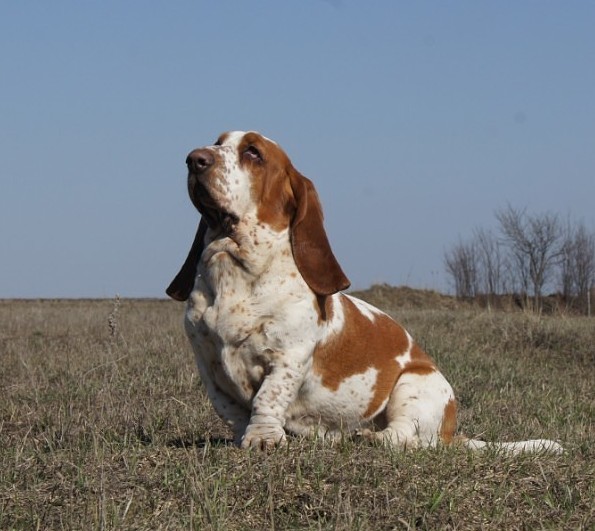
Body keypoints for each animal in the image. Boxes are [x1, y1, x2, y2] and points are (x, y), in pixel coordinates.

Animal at [168, 132, 564, 454]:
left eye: (253, 152)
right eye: (217, 142)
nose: (193, 158)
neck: (235, 271)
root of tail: (452, 433)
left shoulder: (287, 357)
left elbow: (267, 398)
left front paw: (263, 439)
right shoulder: (207, 362)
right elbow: (231, 410)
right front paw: (242, 437)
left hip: (414, 385)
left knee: (405, 438)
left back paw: (367, 437)